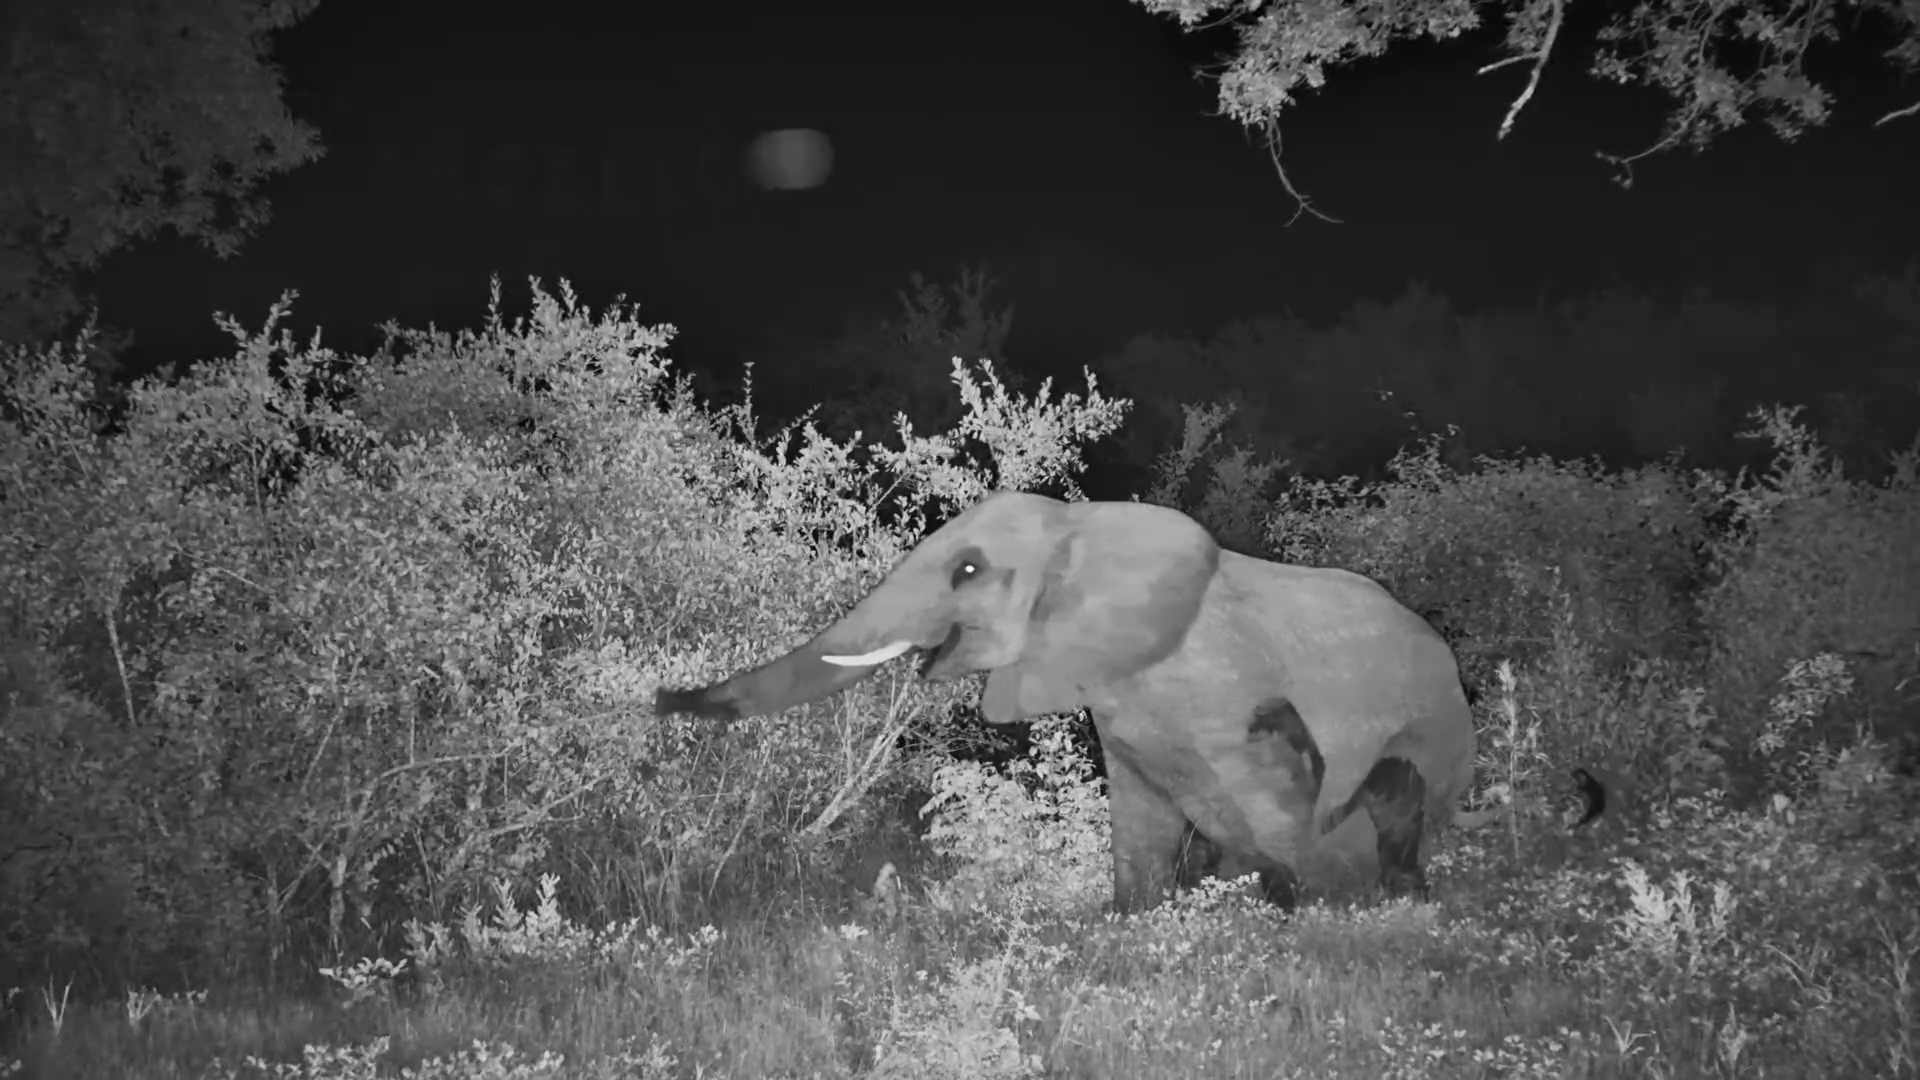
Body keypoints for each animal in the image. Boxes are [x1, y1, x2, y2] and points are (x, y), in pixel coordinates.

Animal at [655, 491, 1477, 913]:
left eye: (968, 569)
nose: (663, 699)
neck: (1082, 526)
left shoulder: (1222, 691)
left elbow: (1275, 809)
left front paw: (1311, 913)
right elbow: (1140, 821)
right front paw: (1132, 919)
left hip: (1435, 730)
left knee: (1399, 810)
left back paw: (1398, 897)